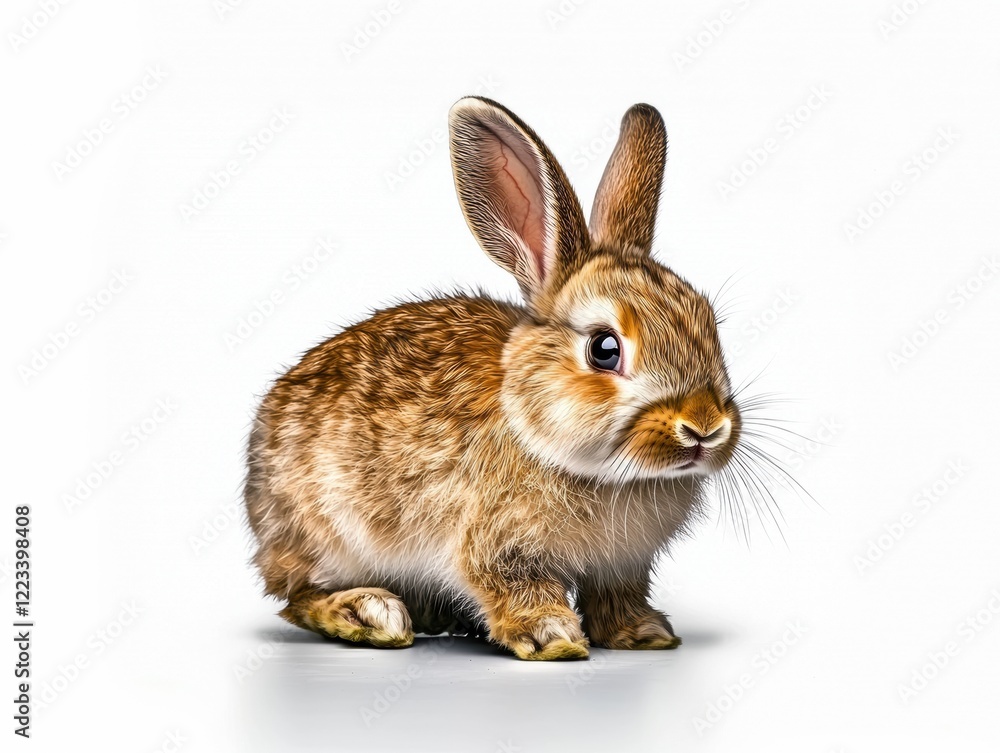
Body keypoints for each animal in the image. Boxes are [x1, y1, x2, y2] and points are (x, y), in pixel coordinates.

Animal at [244, 96, 741, 660]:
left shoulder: (622, 566)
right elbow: (514, 585)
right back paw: (369, 614)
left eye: (710, 325)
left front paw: (643, 633)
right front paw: (553, 637)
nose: (704, 426)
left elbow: (617, 597)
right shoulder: (494, 545)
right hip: (324, 534)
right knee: (297, 596)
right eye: (604, 349)